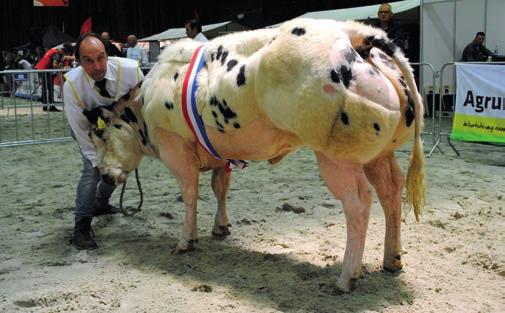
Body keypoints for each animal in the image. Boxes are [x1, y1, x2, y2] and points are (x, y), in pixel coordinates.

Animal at [87, 18, 426, 292]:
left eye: (99, 135)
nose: (104, 174)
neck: (146, 100)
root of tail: (356, 34)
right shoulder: (221, 152)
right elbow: (220, 188)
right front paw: (221, 227)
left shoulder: (176, 149)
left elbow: (190, 194)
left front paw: (186, 241)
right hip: (378, 154)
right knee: (391, 191)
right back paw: (392, 259)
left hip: (337, 156)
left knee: (358, 203)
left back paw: (346, 277)